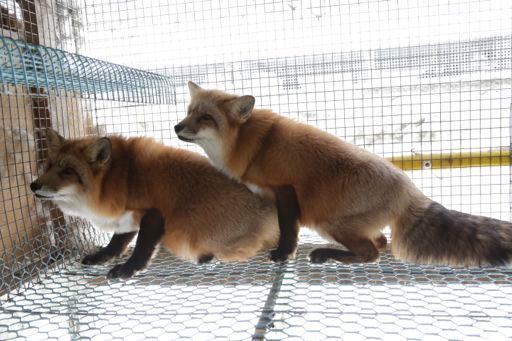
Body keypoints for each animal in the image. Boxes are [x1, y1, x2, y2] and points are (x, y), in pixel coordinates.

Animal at [30, 129, 278, 278]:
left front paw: (128, 269)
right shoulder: (127, 218)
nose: (33, 186)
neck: (123, 178)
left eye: (68, 171)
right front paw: (102, 257)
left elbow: (141, 248)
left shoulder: (153, 215)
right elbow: (116, 243)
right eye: (49, 166)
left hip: (187, 231)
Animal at [175, 81, 512, 266]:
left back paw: (328, 255)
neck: (251, 142)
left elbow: (288, 231)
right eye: (189, 112)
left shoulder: (284, 189)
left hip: (329, 223)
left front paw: (283, 254)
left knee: (372, 253)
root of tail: (410, 189)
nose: (176, 127)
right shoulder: (271, 196)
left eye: (206, 118)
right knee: (380, 243)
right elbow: (276, 228)